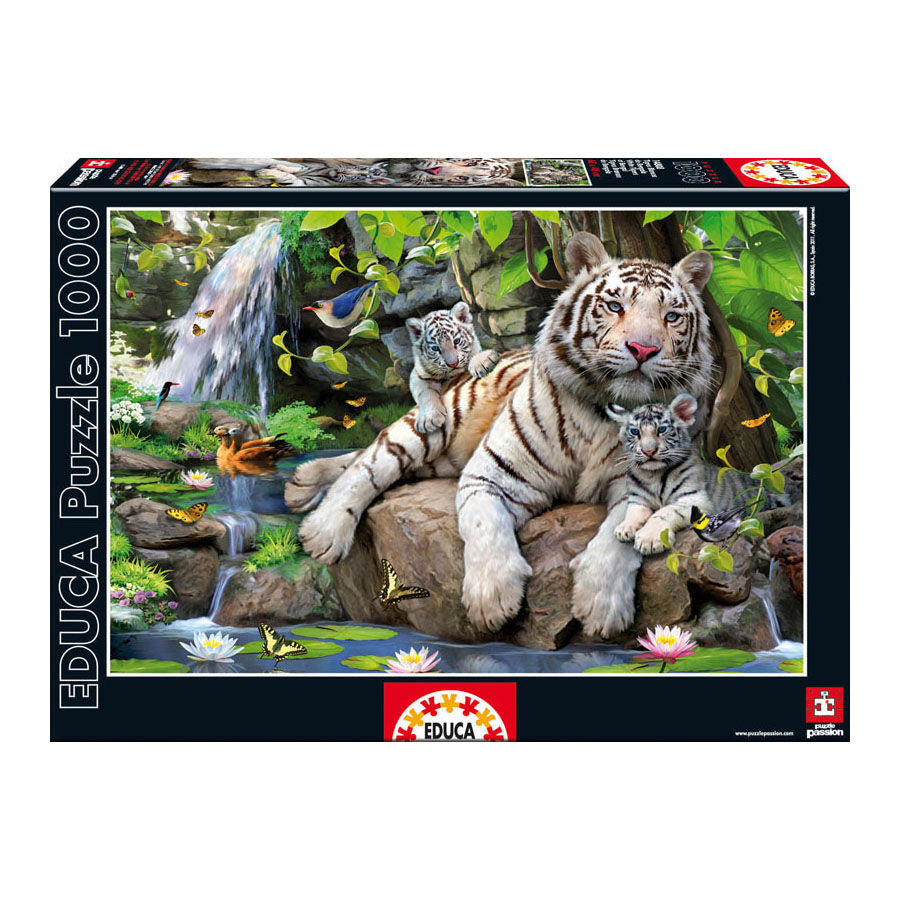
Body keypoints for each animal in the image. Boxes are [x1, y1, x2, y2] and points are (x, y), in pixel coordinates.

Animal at [407, 301, 500, 434]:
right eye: (435, 348)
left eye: (457, 341)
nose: (453, 364)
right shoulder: (418, 374)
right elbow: (424, 393)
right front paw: (429, 419)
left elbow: (474, 353)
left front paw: (482, 362)